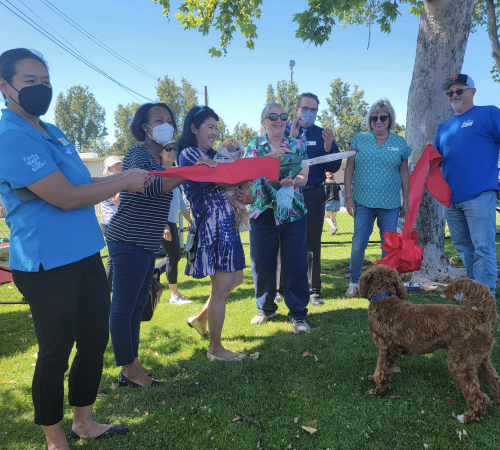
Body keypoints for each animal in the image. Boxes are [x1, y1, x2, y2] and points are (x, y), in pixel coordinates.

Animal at [360, 264, 500, 422]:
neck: (384, 297)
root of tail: (480, 315)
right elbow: (379, 368)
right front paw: (374, 380)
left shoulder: (389, 350)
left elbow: (383, 370)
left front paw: (380, 390)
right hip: (479, 358)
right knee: (495, 380)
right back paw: (496, 403)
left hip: (461, 361)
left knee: (478, 396)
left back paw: (468, 417)